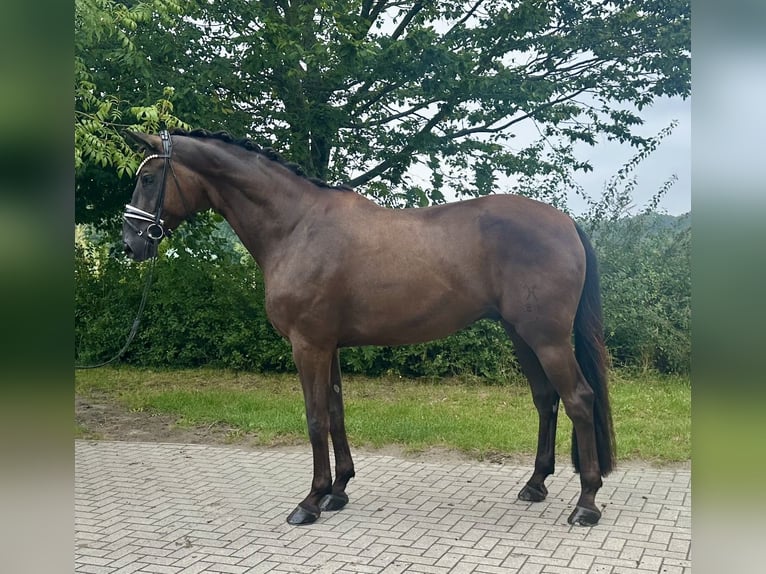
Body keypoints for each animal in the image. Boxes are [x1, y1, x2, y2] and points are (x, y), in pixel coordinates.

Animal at [124, 128, 616, 528]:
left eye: (148, 179)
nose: (130, 244)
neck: (297, 227)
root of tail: (566, 222)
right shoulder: (329, 346)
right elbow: (336, 412)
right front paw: (338, 490)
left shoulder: (308, 345)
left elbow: (315, 417)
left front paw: (310, 501)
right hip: (522, 336)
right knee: (546, 399)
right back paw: (535, 484)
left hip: (547, 339)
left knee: (578, 399)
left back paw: (586, 504)